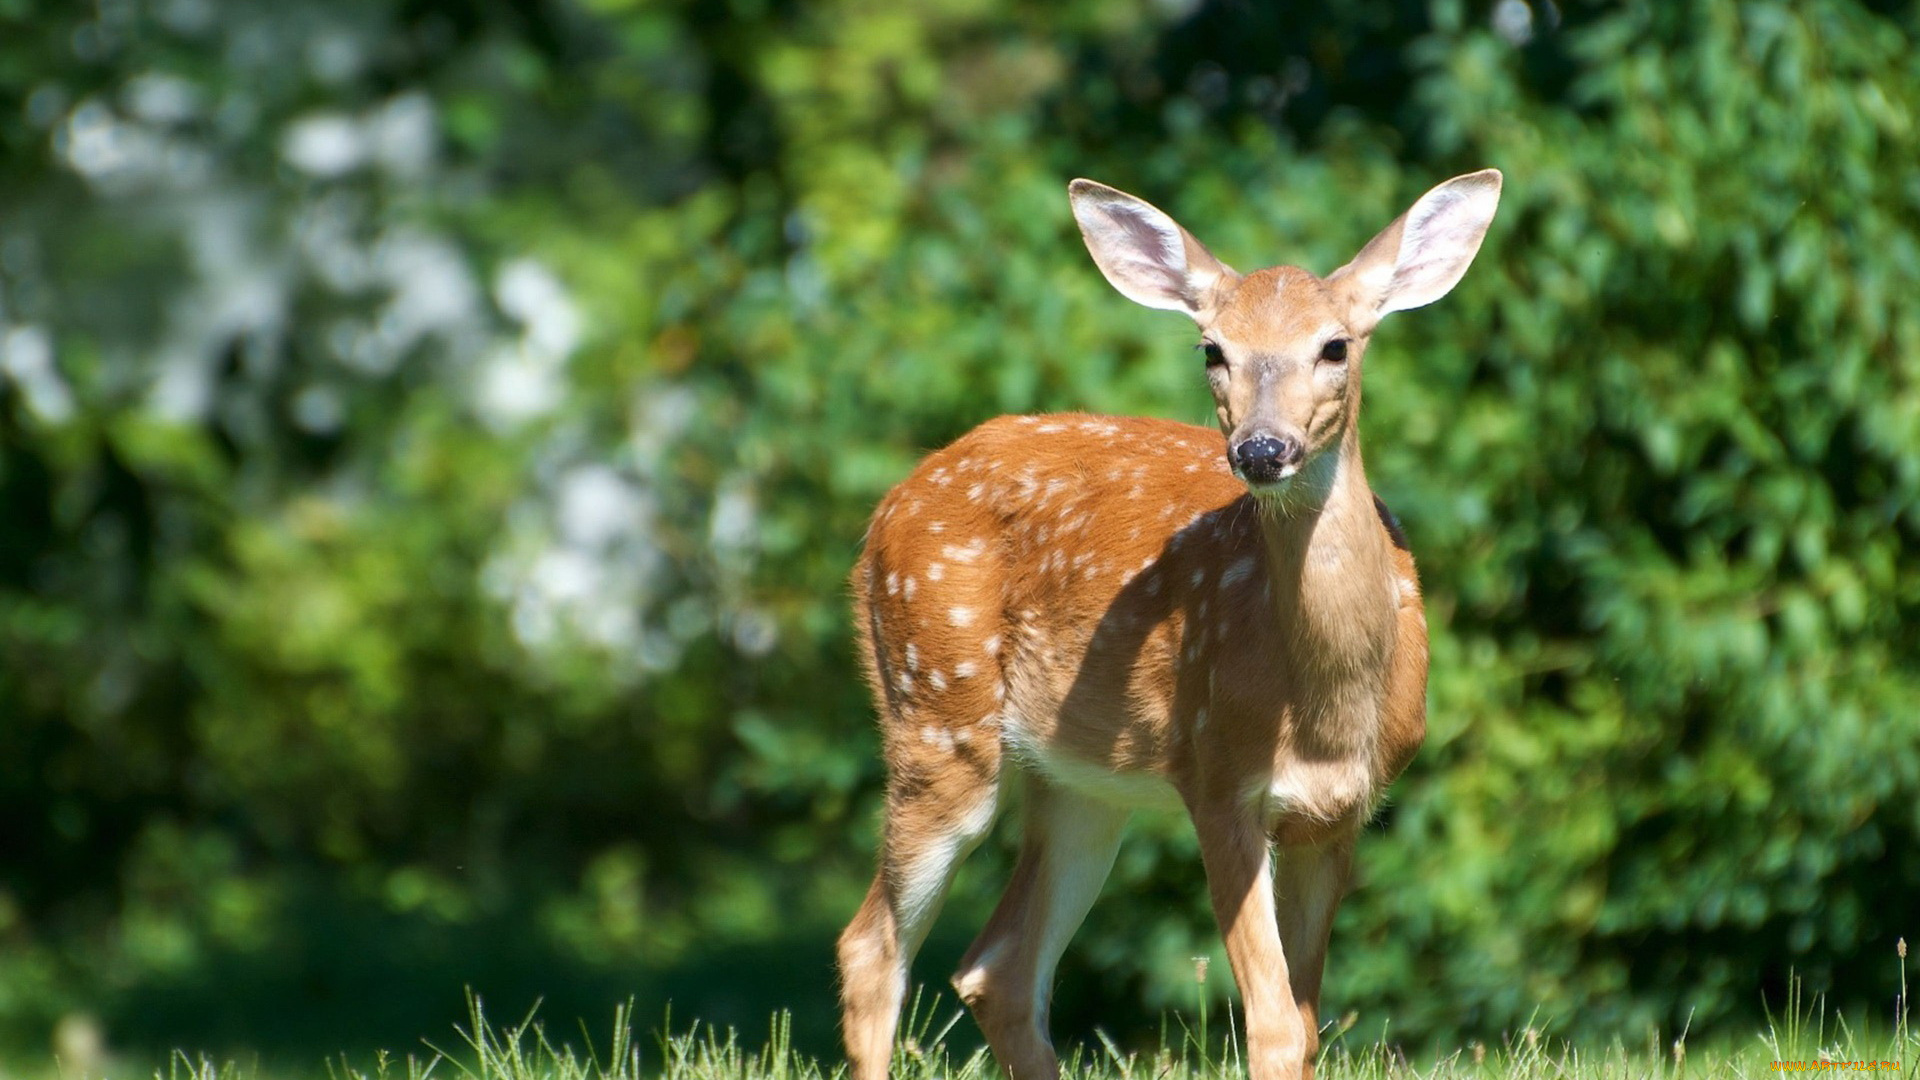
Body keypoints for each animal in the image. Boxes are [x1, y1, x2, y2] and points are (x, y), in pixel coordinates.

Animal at [837, 168, 1497, 1076]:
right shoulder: (1215, 775)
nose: (1261, 450)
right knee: (872, 948)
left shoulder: (1340, 813)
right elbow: (1274, 1023)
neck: (1325, 706)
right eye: (1212, 349)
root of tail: (883, 514)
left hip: (1081, 782)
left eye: (1335, 346)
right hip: (936, 714)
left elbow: (1307, 1022)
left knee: (996, 968)